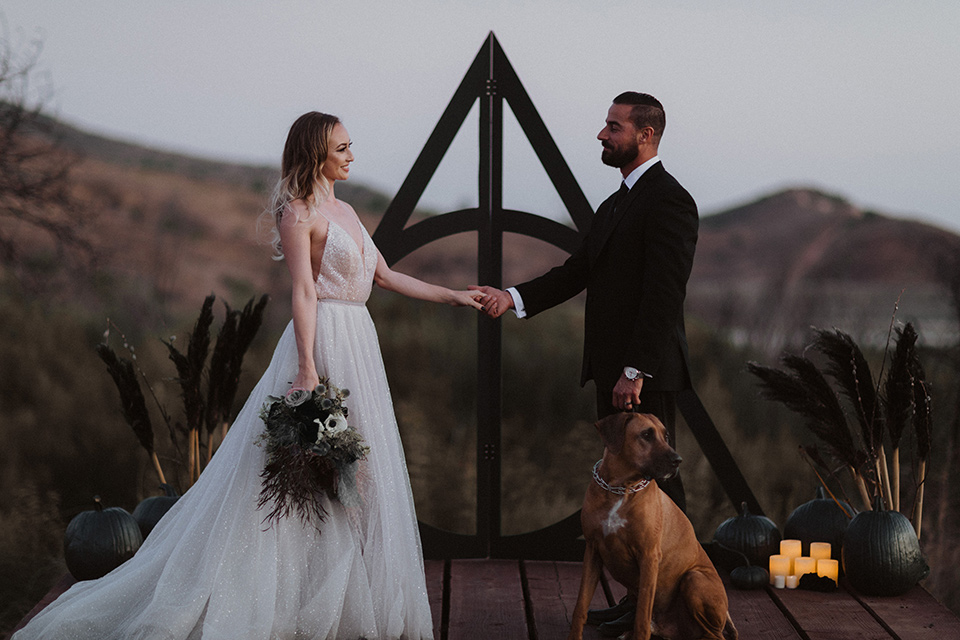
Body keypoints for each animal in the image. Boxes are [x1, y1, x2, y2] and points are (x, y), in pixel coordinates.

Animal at [568, 412, 740, 636]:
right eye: (646, 435)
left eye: (666, 436)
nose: (677, 460)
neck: (621, 489)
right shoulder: (592, 551)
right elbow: (580, 606)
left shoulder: (648, 557)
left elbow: (642, 615)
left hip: (694, 579)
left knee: (713, 634)